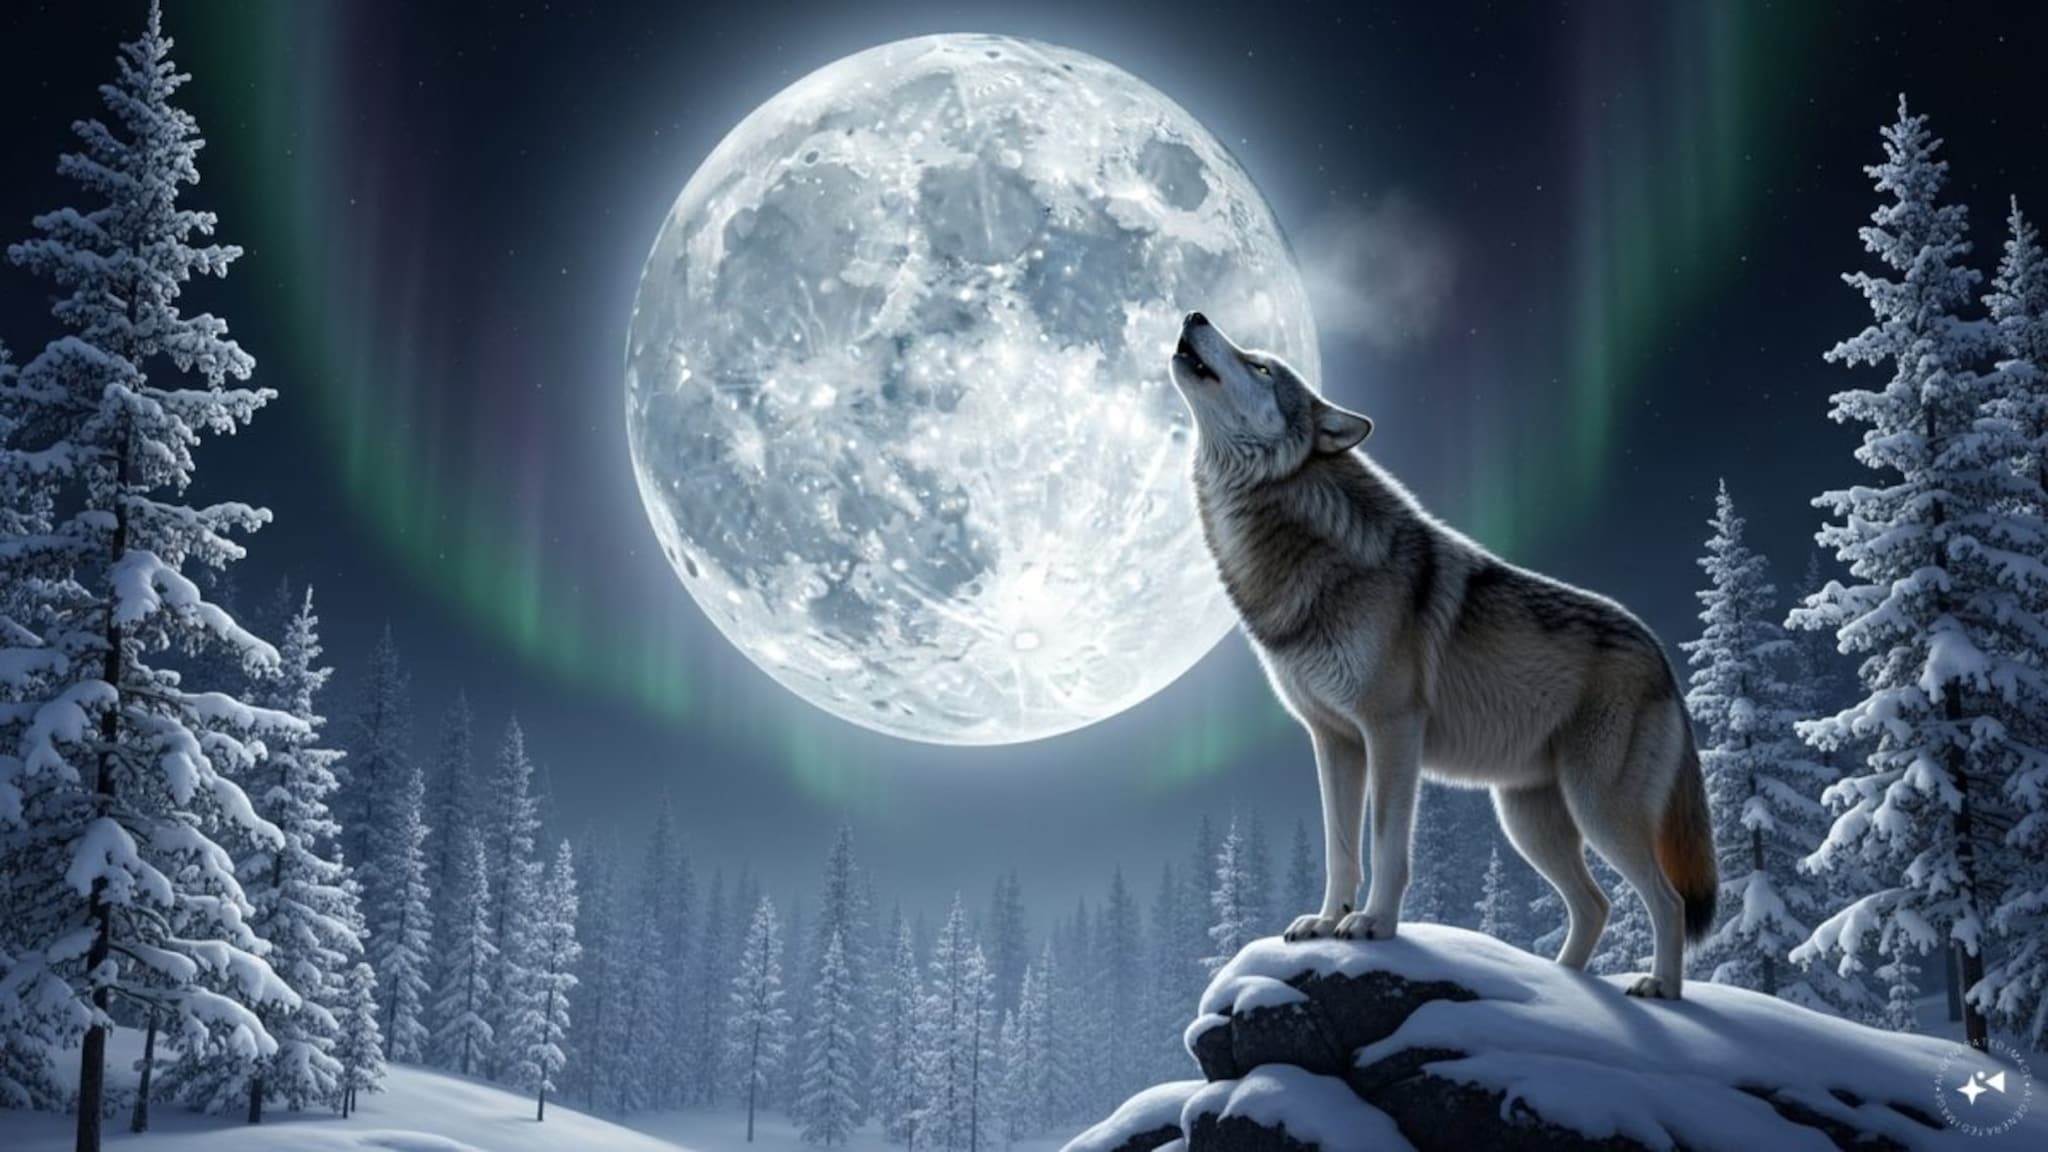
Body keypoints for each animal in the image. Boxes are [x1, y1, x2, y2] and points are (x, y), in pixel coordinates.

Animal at [1169, 312, 1715, 999]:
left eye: (1261, 365)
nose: (1194, 316)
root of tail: (1663, 656)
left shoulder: (1391, 729)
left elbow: (1385, 844)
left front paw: (1373, 925)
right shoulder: (1333, 740)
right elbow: (1340, 846)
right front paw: (1325, 921)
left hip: (1598, 811)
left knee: (1667, 901)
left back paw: (1658, 989)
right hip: (1528, 820)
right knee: (1596, 904)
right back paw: (1559, 988)